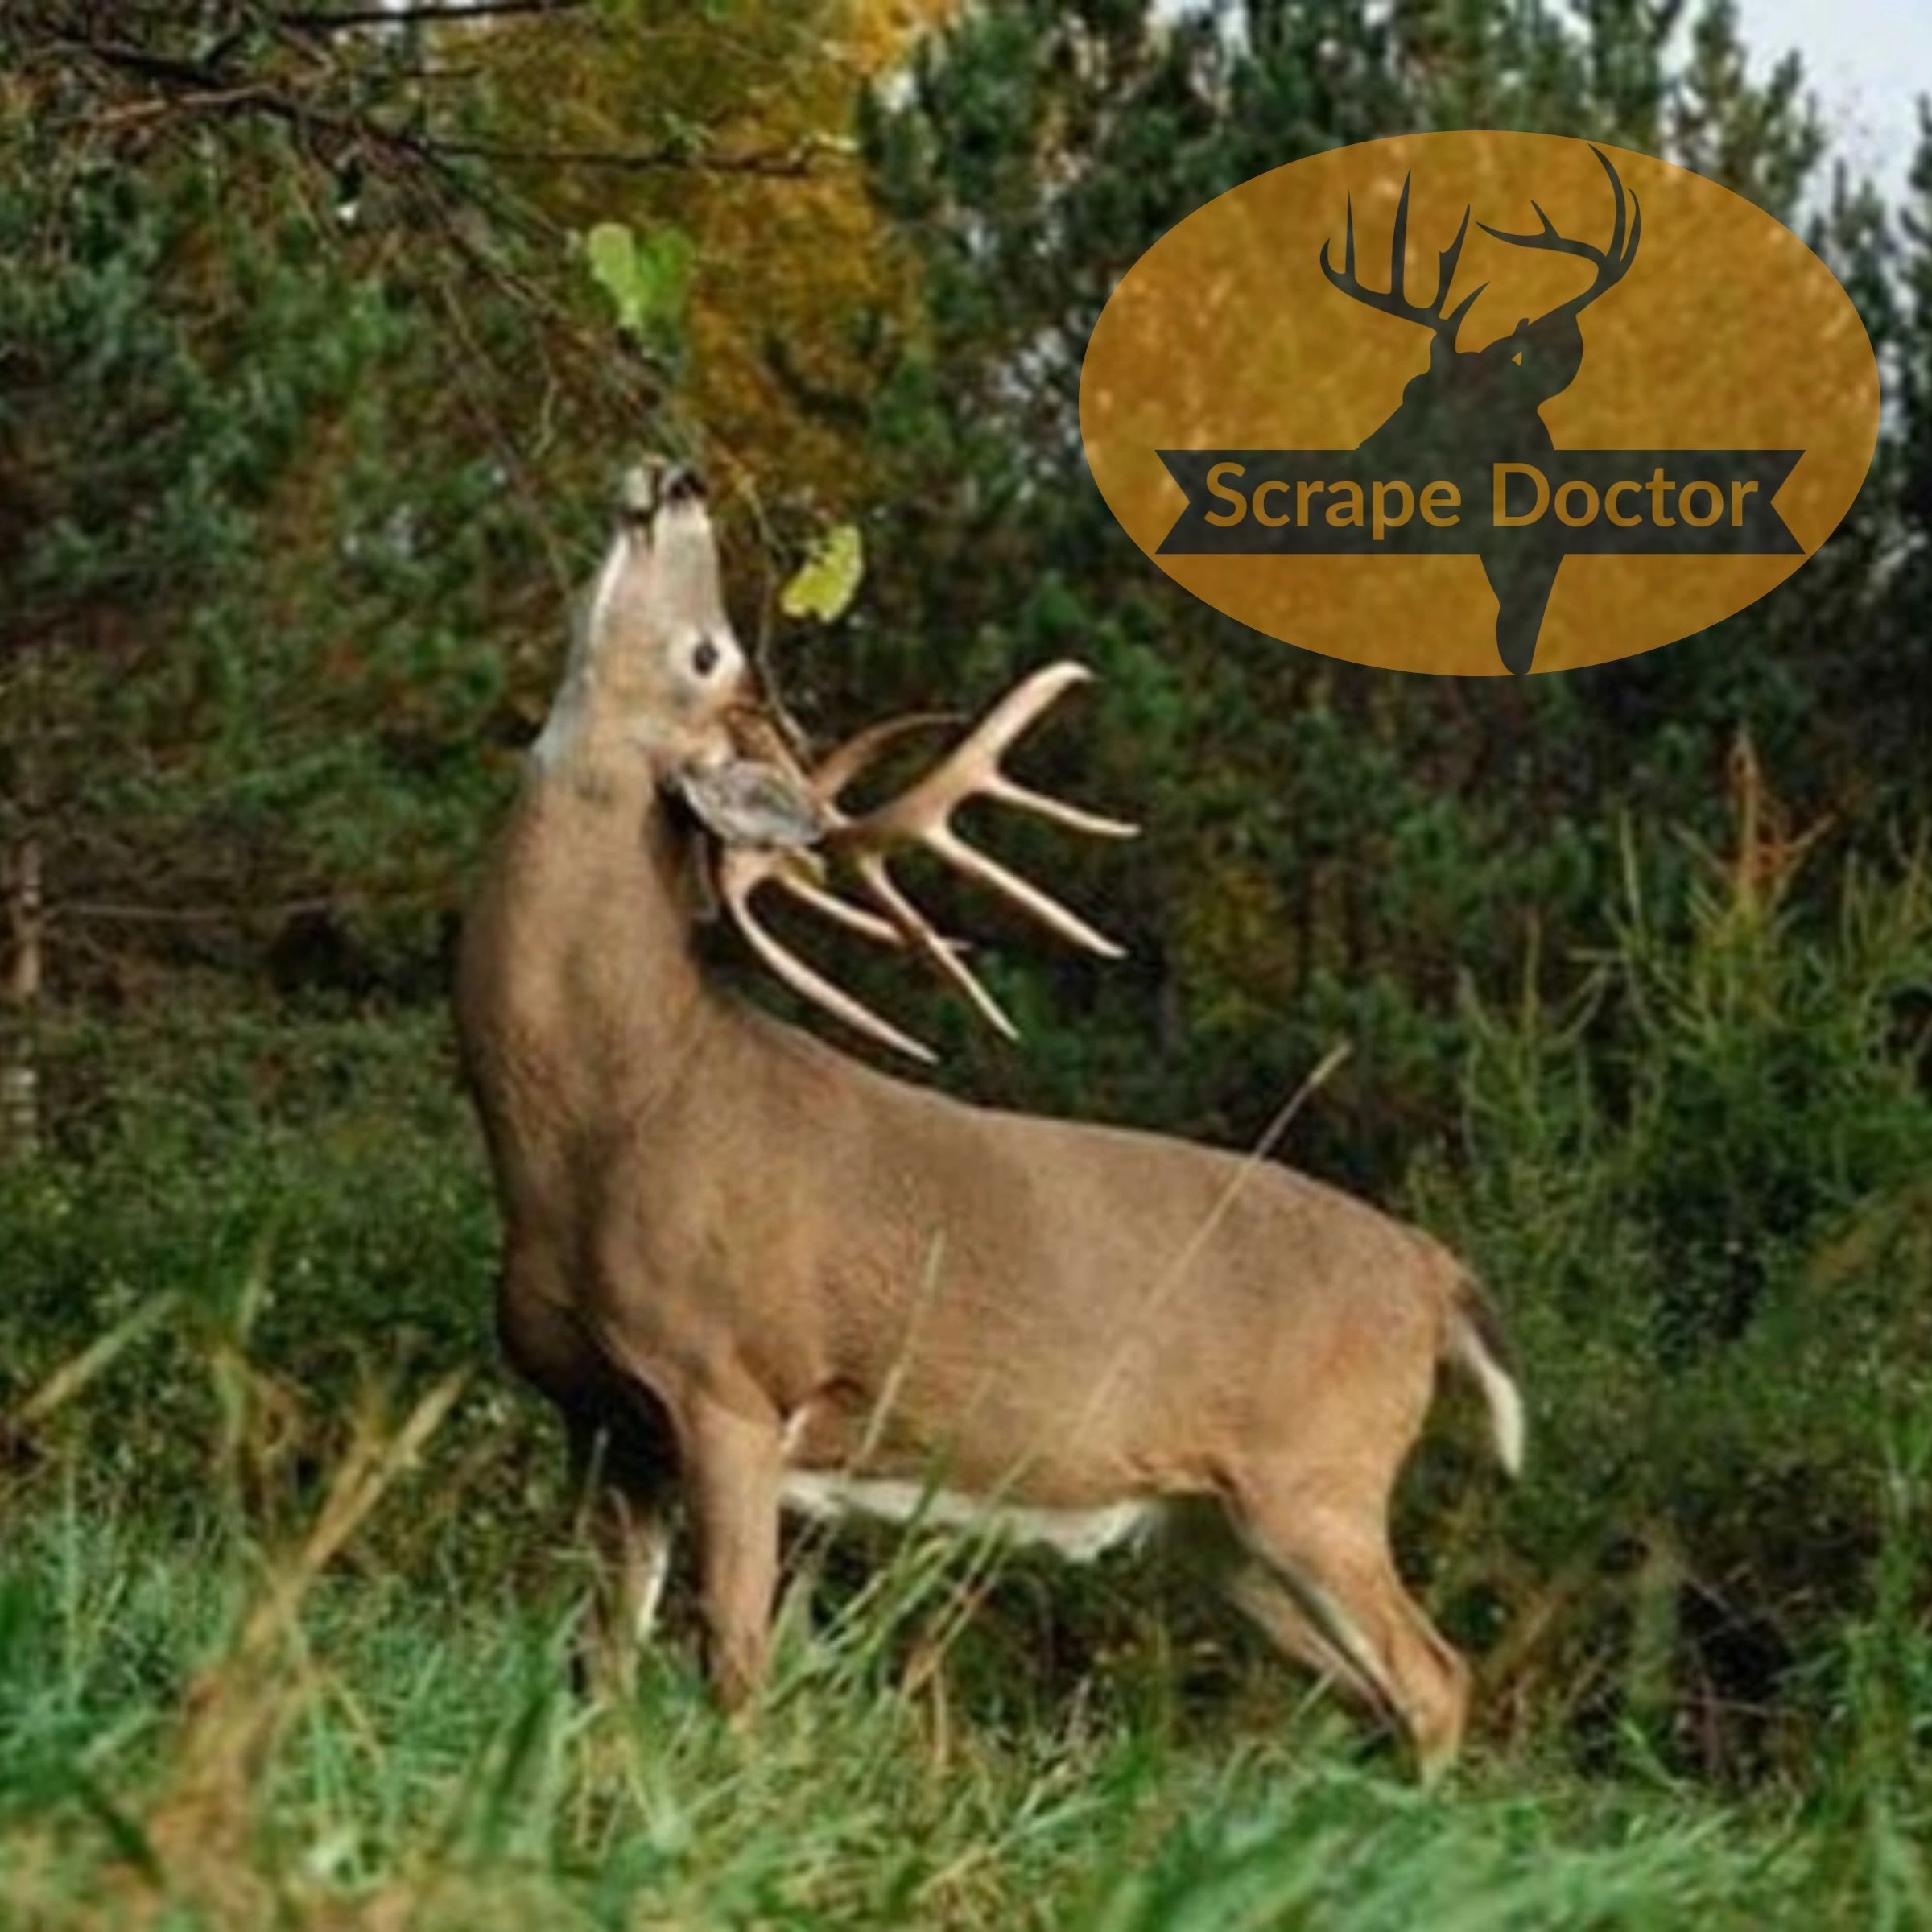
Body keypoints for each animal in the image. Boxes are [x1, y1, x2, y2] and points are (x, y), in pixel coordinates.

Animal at [456, 457, 1524, 1778]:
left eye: (708, 651)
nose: (682, 480)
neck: (602, 1116)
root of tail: (1437, 1276)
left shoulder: (731, 1384)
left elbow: (734, 1666)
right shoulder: (605, 1421)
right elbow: (596, 1665)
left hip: (1318, 1479)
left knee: (1435, 1677)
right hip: (1220, 1530)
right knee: (1382, 1687)